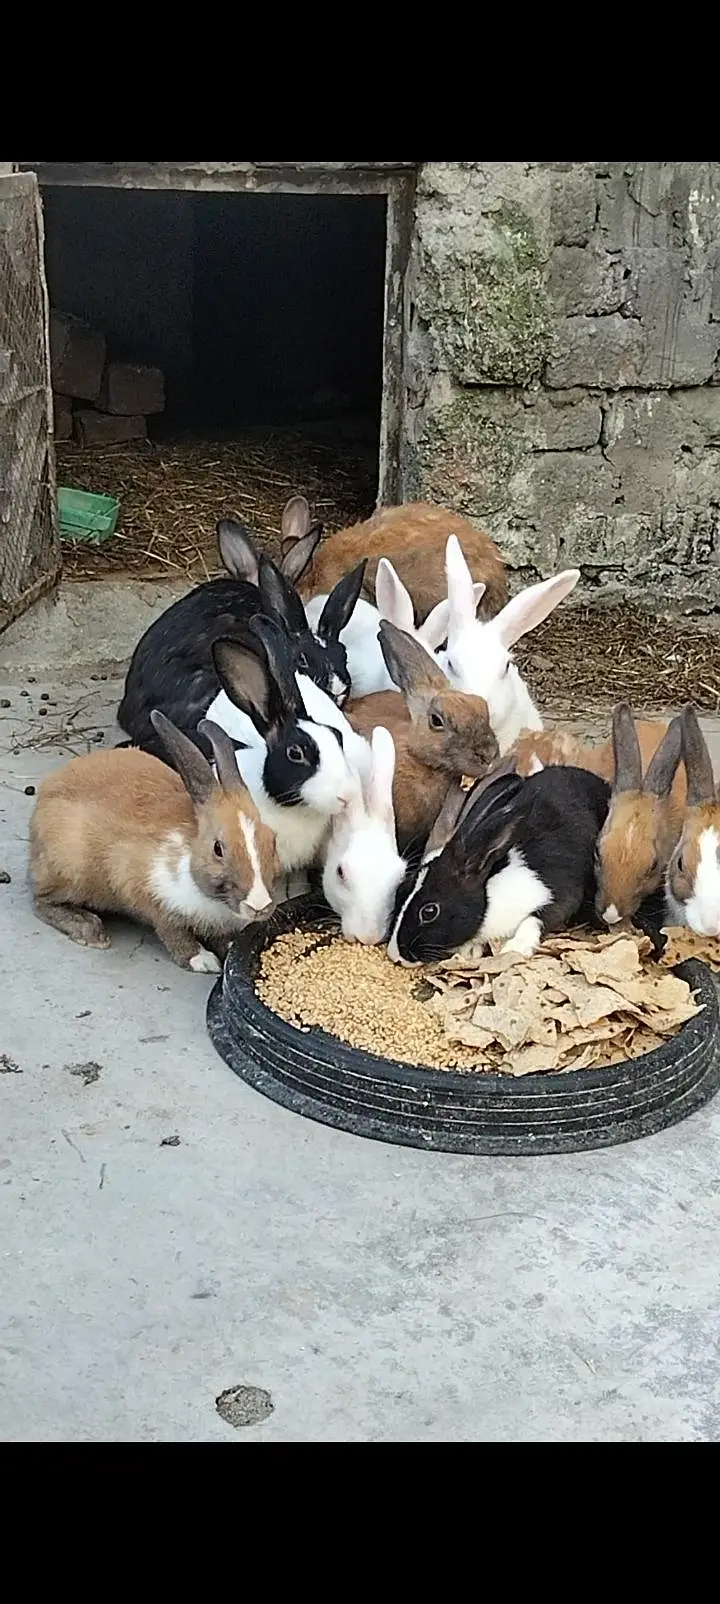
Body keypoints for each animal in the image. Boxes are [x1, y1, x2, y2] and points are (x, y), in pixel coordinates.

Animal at [29, 710, 280, 972]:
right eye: (218, 849)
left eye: (272, 840)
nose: (259, 905)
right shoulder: (150, 899)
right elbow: (173, 933)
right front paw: (202, 960)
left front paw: (230, 948)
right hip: (70, 870)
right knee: (41, 901)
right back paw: (89, 930)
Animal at [388, 763, 611, 965]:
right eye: (400, 891)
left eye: (429, 912)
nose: (395, 955)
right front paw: (470, 950)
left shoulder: (557, 896)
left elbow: (534, 920)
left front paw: (515, 948)